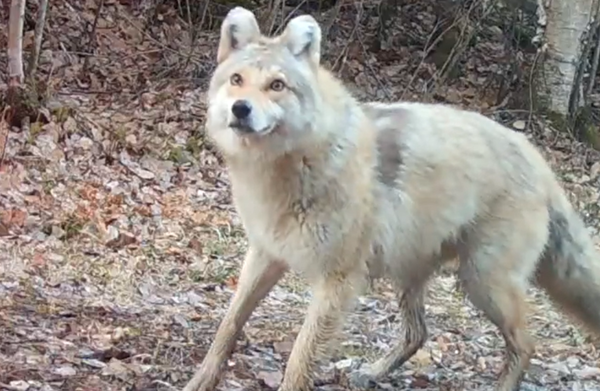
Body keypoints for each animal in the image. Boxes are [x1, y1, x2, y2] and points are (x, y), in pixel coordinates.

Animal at [183, 6, 600, 391]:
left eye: (276, 85)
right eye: (237, 80)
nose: (241, 109)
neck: (288, 167)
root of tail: (538, 160)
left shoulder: (337, 281)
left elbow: (299, 360)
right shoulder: (265, 255)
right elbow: (228, 326)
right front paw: (200, 381)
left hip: (481, 283)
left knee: (526, 346)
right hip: (415, 274)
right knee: (419, 334)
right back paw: (371, 373)